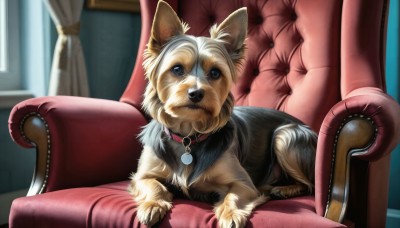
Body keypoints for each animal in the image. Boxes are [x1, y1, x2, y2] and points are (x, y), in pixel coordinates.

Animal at [130, 0, 318, 227]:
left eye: (215, 73)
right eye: (177, 69)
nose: (196, 93)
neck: (188, 136)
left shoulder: (243, 183)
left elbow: (233, 195)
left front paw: (230, 214)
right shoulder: (142, 175)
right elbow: (152, 184)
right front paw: (152, 205)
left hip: (287, 135)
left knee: (309, 185)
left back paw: (283, 189)